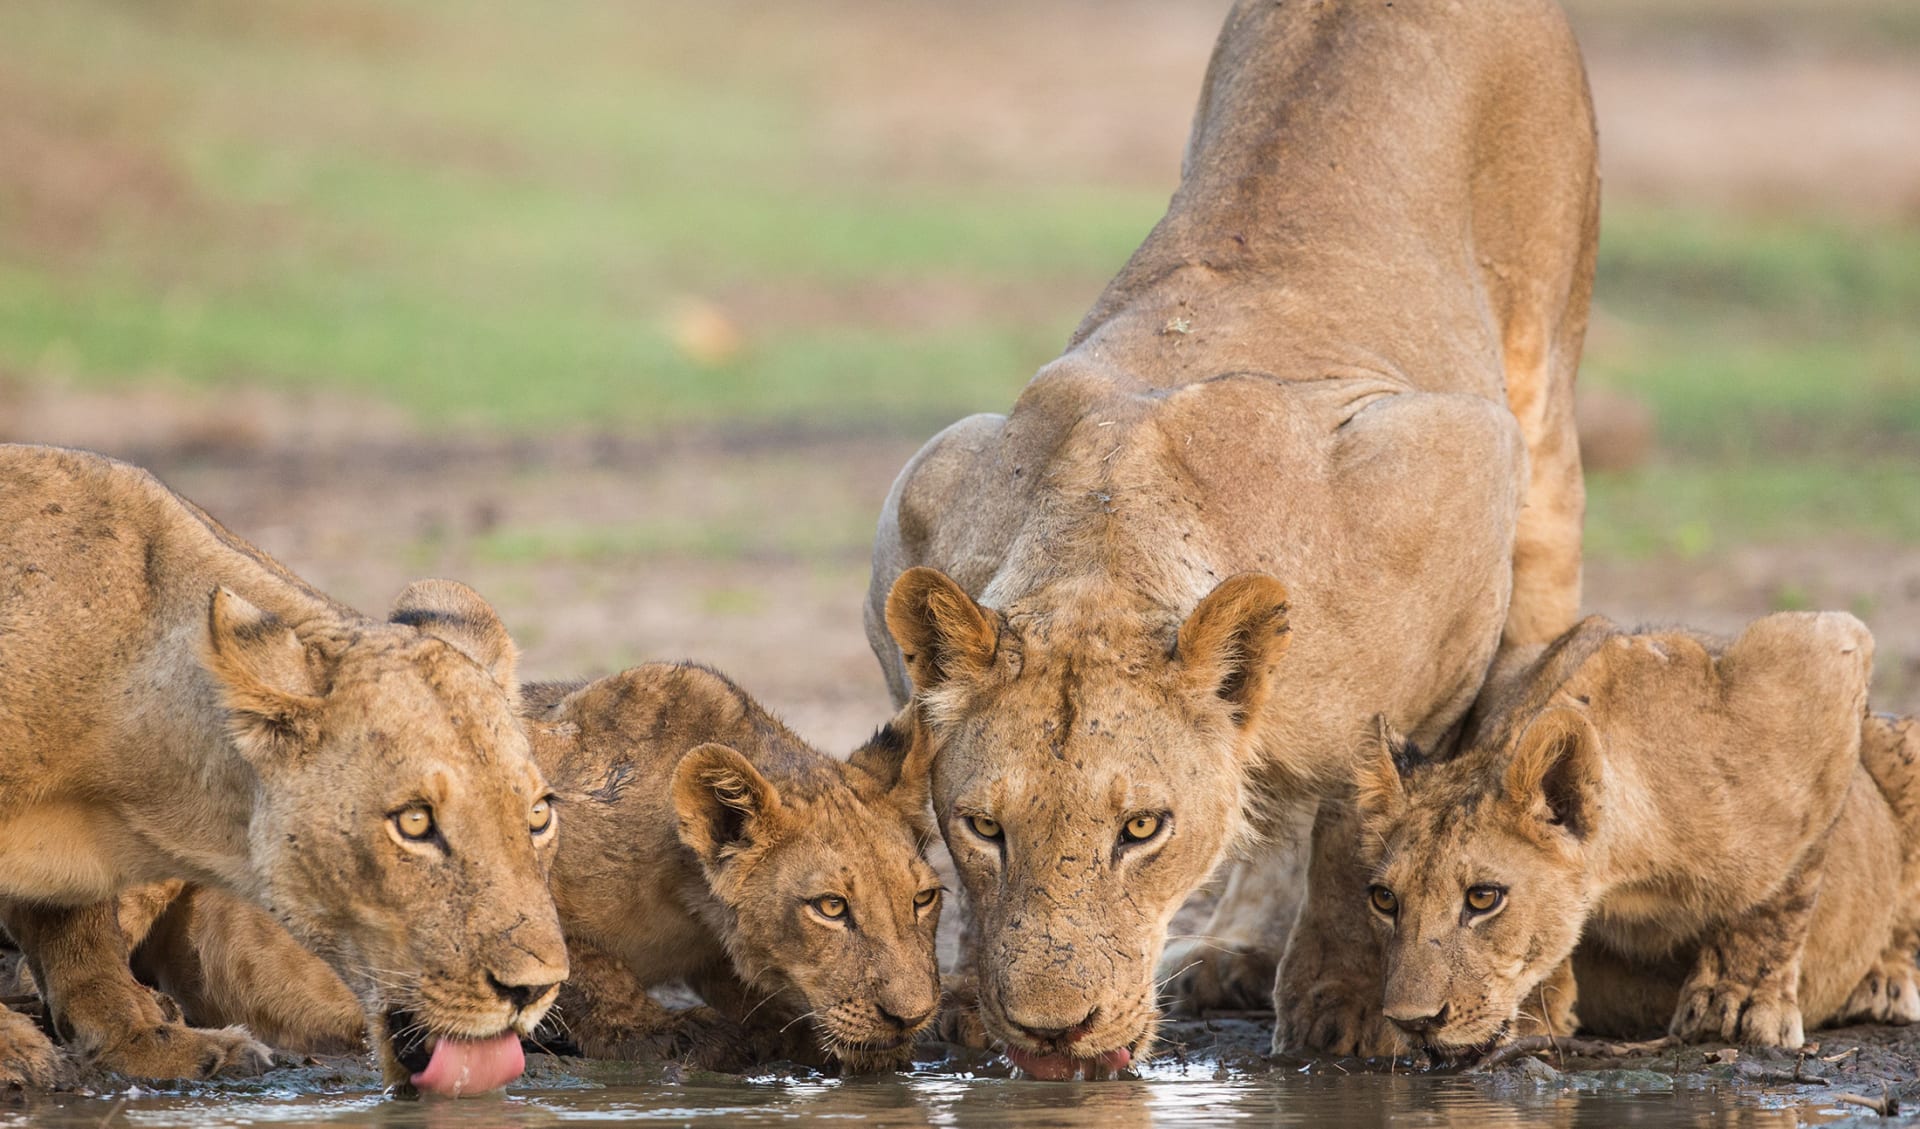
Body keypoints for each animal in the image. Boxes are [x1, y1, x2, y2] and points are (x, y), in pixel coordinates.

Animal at [0, 443, 564, 1090]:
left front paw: (149, 1040)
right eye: (415, 822)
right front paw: (13, 1051)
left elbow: (80, 933)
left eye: (539, 817)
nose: (534, 990)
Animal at [105, 660, 944, 1075]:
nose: (913, 1014)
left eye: (926, 899)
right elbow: (588, 971)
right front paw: (672, 1033)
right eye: (830, 906)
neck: (682, 890)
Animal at [864, 0, 1597, 1075]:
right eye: (987, 825)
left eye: (1142, 827)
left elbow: (1355, 814)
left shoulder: (1453, 459)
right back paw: (1236, 950)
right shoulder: (928, 490)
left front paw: (1346, 1004)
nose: (1052, 1034)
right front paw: (961, 993)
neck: (1104, 548)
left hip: (1541, 382)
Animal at [1351, 614, 1920, 1052]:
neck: (1625, 875)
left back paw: (1886, 982)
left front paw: (1736, 997)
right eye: (1384, 900)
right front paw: (1546, 1007)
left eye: (1483, 897)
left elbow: (1786, 884)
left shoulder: (1821, 653)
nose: (1411, 1023)